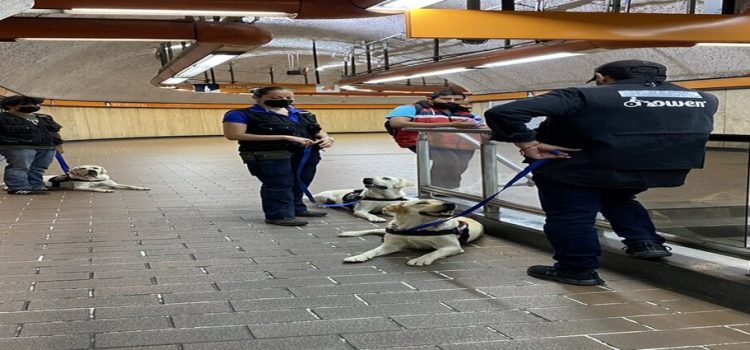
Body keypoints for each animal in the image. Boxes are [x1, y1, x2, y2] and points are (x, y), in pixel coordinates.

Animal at [338, 200, 484, 266]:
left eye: (441, 201)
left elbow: (435, 252)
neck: (415, 228)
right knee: (374, 229)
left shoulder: (452, 246)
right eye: (422, 202)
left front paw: (421, 259)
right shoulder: (391, 245)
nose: (451, 203)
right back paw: (350, 233)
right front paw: (358, 256)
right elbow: (372, 251)